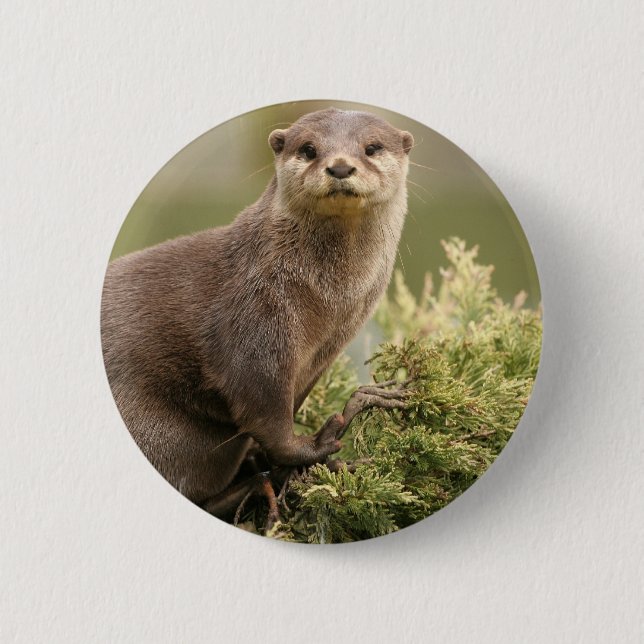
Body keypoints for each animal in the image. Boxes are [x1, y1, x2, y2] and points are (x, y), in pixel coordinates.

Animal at [101, 108, 414, 518]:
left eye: (372, 148)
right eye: (308, 148)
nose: (340, 166)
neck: (328, 299)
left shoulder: (323, 352)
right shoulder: (257, 316)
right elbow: (264, 409)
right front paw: (320, 441)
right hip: (165, 433)